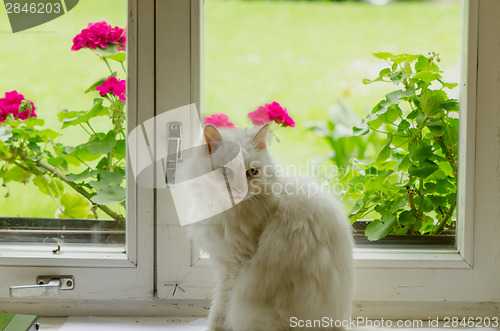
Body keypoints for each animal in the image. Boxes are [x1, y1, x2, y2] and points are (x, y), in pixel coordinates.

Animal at [186, 125, 354, 331]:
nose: (240, 190)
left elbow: (220, 307)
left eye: (251, 171)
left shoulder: (232, 266)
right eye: (225, 171)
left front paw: (214, 327)